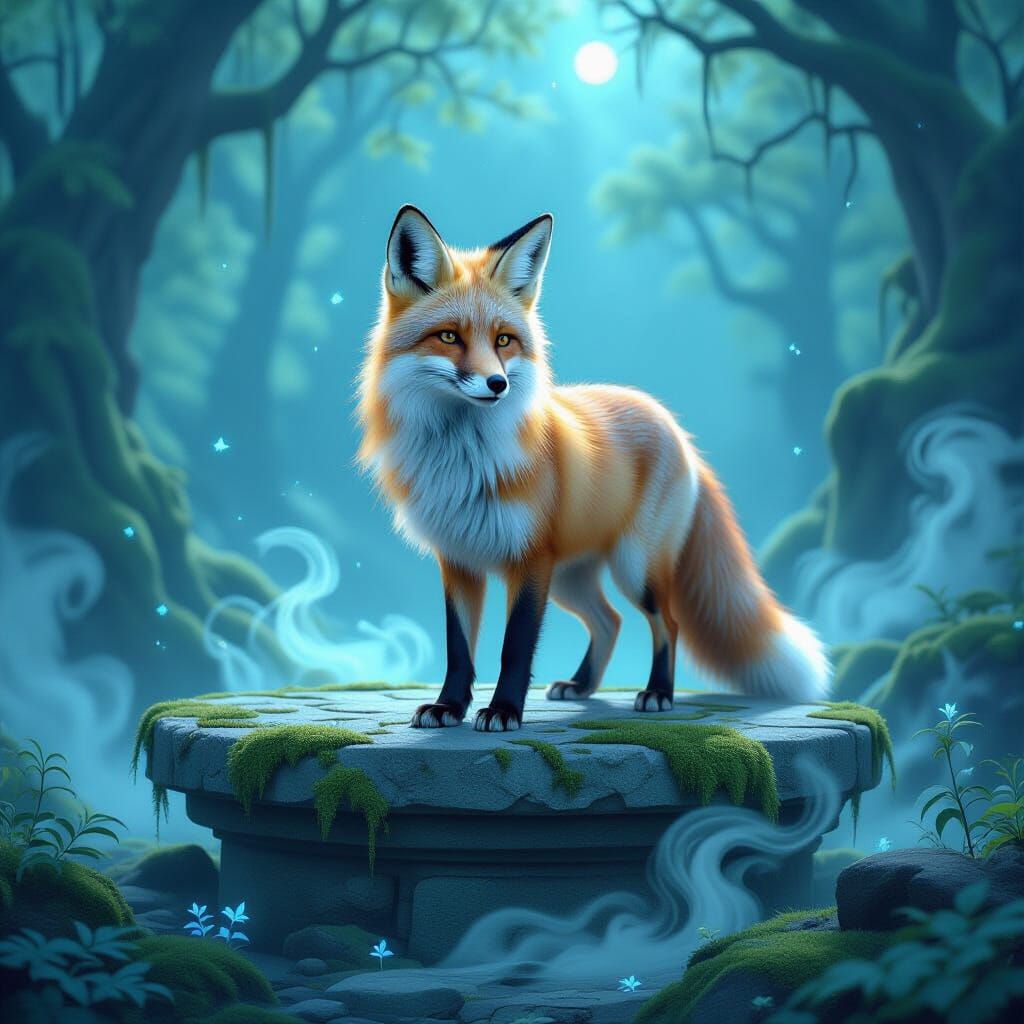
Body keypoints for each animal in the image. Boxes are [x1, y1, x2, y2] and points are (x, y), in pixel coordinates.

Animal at [357, 205, 830, 732]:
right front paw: (448, 707)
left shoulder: (531, 561)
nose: (497, 384)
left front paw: (503, 710)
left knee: (666, 622)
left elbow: (514, 648)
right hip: (572, 580)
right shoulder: (458, 560)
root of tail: (673, 425)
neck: (464, 461)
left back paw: (657, 693)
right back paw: (582, 686)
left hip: (634, 568)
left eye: (503, 341)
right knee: (610, 621)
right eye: (448, 337)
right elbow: (458, 650)